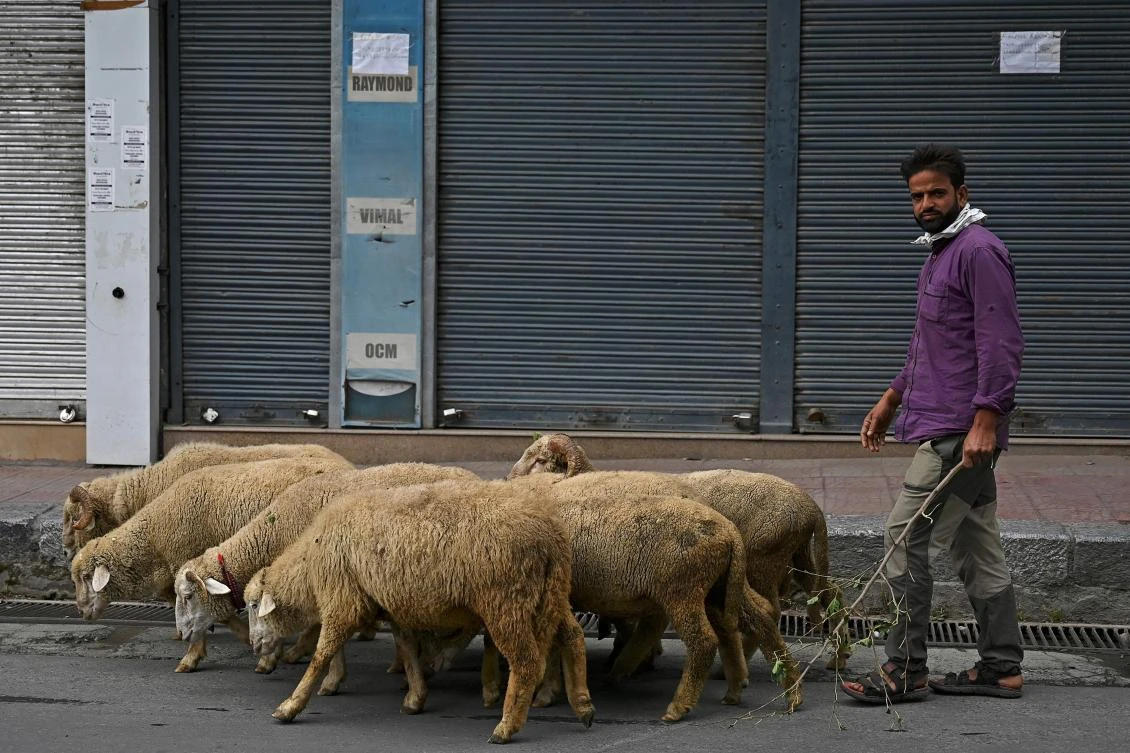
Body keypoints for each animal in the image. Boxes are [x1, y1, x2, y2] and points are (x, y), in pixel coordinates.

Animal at [174, 462, 481, 676]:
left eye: (188, 596)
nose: (183, 634)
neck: (272, 532)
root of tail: (474, 477)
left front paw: (282, 655)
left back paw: (443, 656)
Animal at [243, 478, 595, 744]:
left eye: (252, 605)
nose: (254, 646)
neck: (310, 569)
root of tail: (550, 535)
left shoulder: (343, 600)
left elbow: (320, 656)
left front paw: (290, 706)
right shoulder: (391, 604)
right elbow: (408, 648)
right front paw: (415, 697)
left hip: (507, 602)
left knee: (527, 662)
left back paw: (507, 727)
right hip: (552, 593)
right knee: (573, 637)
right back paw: (583, 706)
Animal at [509, 433, 848, 670]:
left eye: (539, 460)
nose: (509, 481)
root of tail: (810, 506)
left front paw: (636, 656)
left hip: (764, 561)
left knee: (772, 609)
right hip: (797, 557)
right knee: (829, 594)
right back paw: (838, 658)